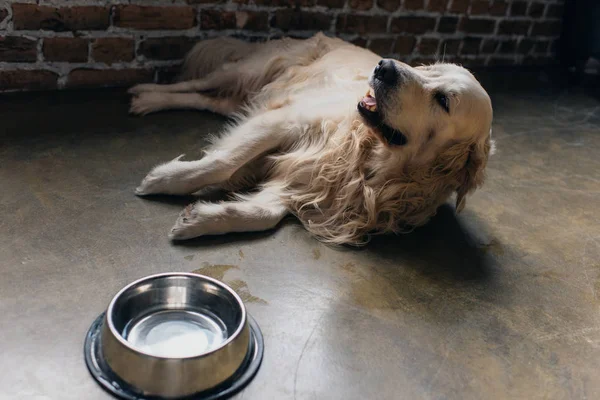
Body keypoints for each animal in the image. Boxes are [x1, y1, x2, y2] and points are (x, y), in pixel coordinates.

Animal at [127, 32, 492, 244]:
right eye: (427, 67)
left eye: (443, 100)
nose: (384, 67)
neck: (374, 158)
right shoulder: (285, 120)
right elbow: (223, 162)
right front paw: (163, 179)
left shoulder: (307, 180)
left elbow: (264, 214)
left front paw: (199, 220)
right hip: (244, 71)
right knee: (192, 84)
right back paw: (146, 94)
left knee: (205, 99)